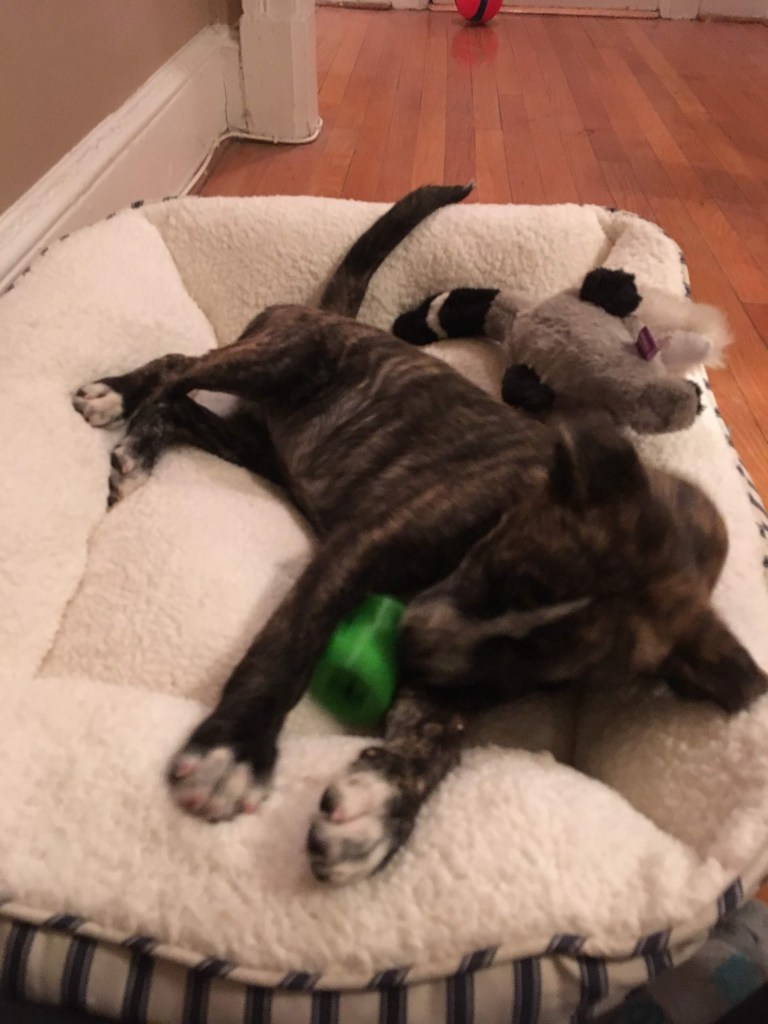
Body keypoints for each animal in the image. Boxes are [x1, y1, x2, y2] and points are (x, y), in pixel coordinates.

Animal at [72, 185, 766, 885]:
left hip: (254, 446)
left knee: (185, 408)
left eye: (542, 671)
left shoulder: (458, 675)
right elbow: (290, 641)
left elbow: (443, 738)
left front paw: (382, 809)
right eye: (499, 569)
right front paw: (235, 749)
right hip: (279, 357)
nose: (411, 650)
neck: (503, 511)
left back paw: (142, 444)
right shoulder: (360, 550)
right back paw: (119, 399)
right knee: (177, 368)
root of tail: (336, 316)